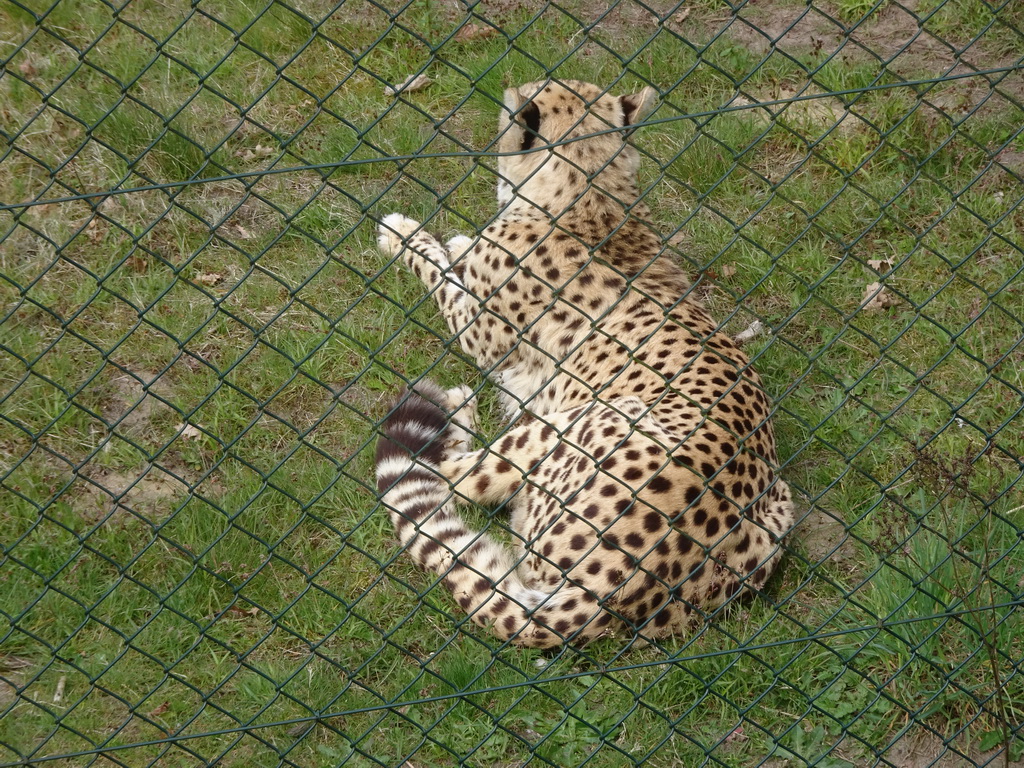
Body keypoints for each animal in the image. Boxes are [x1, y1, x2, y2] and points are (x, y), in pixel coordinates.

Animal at [372, 79, 794, 651]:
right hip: (780, 506)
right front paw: (455, 239)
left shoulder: (478, 328)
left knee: (450, 475)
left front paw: (404, 234)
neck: (589, 196)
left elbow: (440, 274)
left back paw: (455, 413)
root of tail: (605, 599)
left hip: (599, 415)